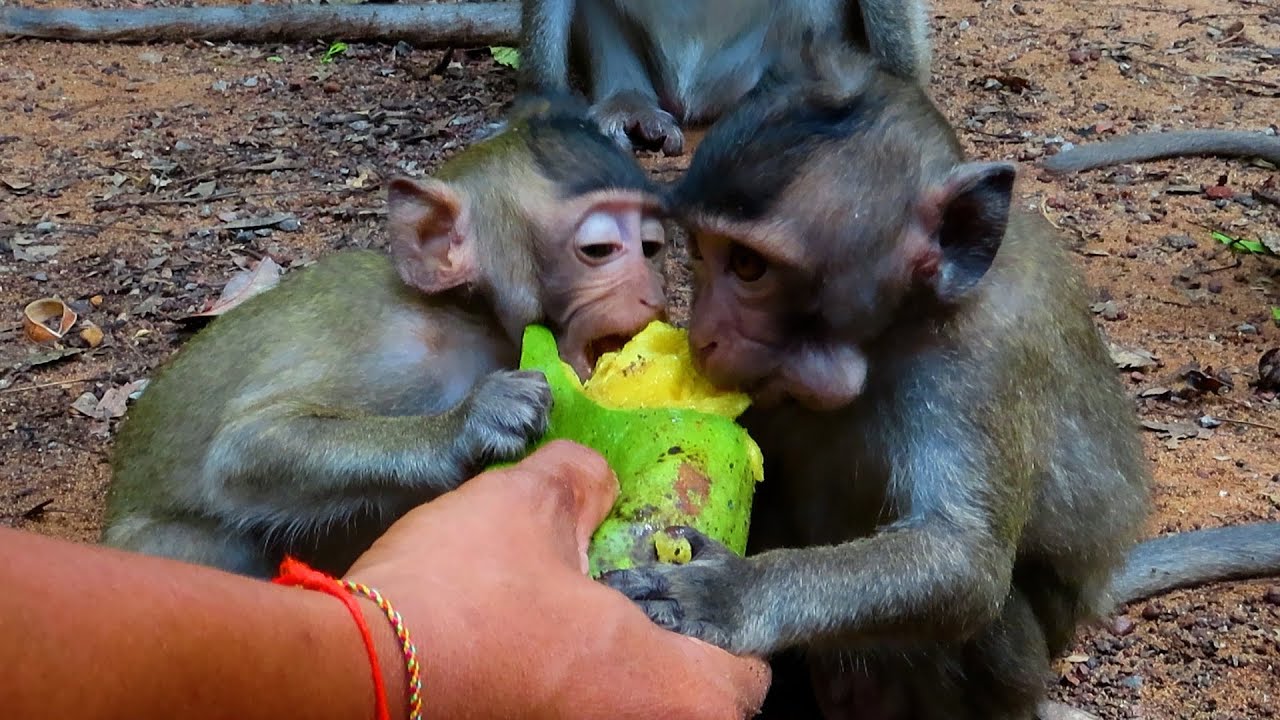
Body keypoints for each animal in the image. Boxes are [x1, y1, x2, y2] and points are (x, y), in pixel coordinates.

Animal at [102, 94, 669, 579]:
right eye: (599, 249)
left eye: (651, 247)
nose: (653, 293)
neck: (464, 318)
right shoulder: (393, 353)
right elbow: (244, 452)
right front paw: (472, 419)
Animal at [597, 49, 1280, 720]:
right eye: (699, 252)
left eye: (747, 266)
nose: (703, 335)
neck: (891, 335)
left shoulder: (982, 362)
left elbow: (963, 562)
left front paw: (731, 595)